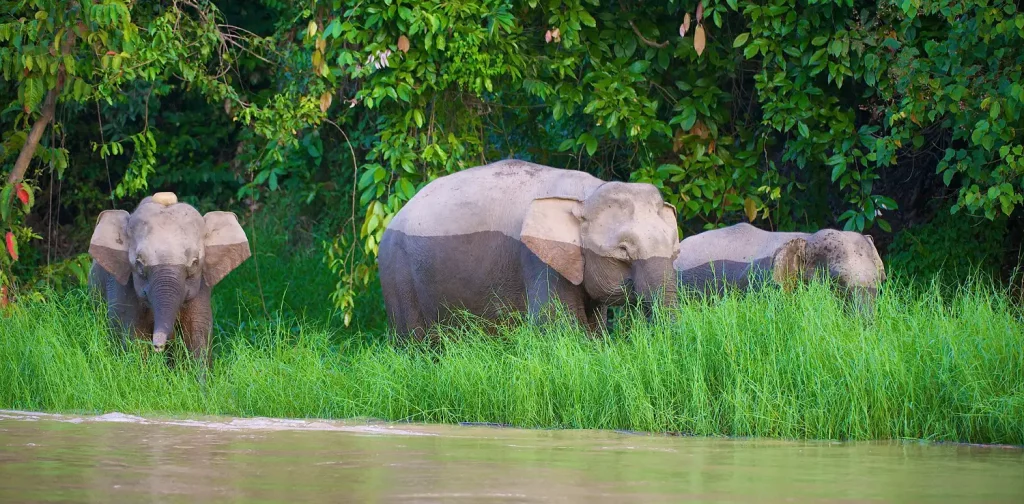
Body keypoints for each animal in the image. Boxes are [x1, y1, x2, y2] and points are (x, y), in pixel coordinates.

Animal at [86, 190, 249, 364]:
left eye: (194, 263)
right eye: (139, 263)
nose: (158, 347)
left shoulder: (202, 287)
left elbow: (197, 333)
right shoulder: (122, 287)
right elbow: (132, 335)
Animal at [376, 159, 679, 340]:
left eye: (675, 251)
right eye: (623, 251)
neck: (586, 194)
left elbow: (595, 328)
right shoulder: (537, 261)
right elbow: (558, 327)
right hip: (397, 276)